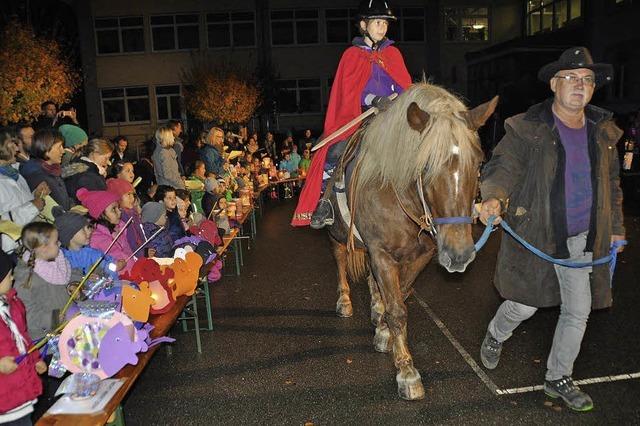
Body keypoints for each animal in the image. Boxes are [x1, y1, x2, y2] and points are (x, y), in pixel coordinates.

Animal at [328, 83, 498, 400]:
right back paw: (344, 300)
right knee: (341, 258)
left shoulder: (422, 254)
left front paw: (383, 331)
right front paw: (407, 372)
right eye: (426, 165)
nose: (459, 254)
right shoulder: (382, 254)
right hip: (337, 233)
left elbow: (401, 295)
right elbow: (397, 310)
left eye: (479, 162)